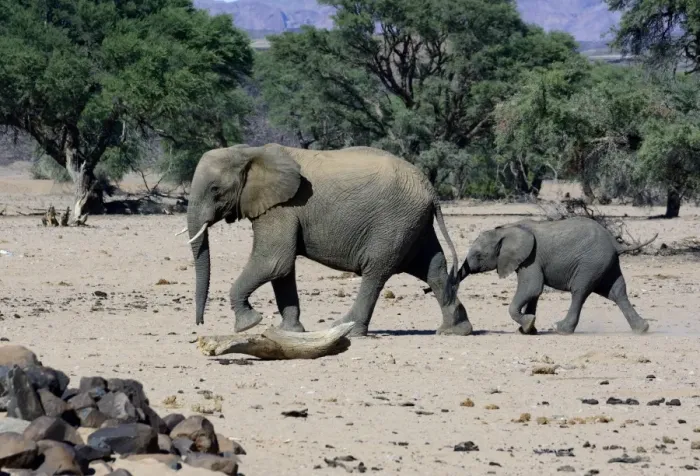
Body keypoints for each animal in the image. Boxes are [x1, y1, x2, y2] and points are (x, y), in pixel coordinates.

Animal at [182, 143, 473, 337]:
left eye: (215, 189)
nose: (199, 324)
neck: (249, 152)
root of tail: (430, 188)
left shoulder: (283, 207)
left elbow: (274, 261)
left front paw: (248, 324)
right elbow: (282, 270)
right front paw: (291, 331)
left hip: (394, 221)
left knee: (376, 271)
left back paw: (346, 329)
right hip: (414, 223)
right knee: (433, 268)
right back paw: (455, 330)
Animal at [459, 216, 656, 335]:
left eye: (479, 255)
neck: (507, 229)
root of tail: (615, 243)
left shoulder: (531, 259)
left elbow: (532, 288)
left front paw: (528, 325)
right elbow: (534, 293)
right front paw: (528, 330)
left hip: (590, 263)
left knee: (580, 292)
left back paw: (562, 329)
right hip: (606, 263)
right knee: (617, 292)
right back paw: (642, 329)